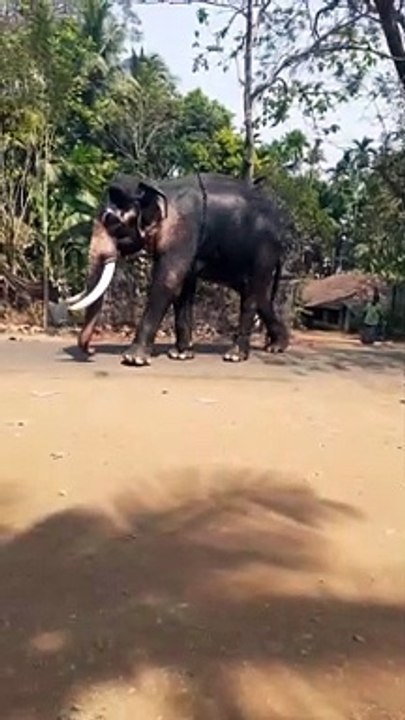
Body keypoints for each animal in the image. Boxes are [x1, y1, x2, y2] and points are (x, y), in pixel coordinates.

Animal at [66, 172, 290, 366]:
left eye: (112, 223)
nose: (91, 350)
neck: (157, 187)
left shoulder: (183, 230)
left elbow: (168, 281)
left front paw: (133, 359)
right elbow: (183, 289)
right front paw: (180, 355)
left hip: (264, 251)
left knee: (252, 294)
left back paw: (234, 356)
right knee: (258, 294)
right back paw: (277, 347)